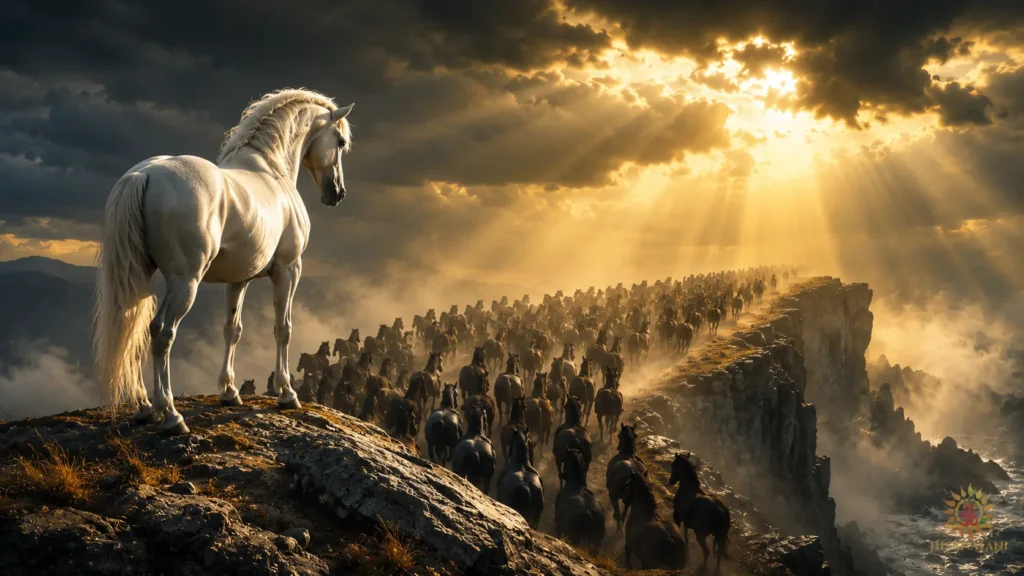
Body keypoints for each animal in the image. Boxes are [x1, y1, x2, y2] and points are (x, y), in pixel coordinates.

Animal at [92, 89, 355, 434]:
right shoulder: (289, 269)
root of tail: (143, 174)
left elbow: (233, 329)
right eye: (340, 141)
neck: (271, 170)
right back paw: (170, 414)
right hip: (185, 282)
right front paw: (287, 394)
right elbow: (283, 328)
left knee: (131, 327)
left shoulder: (238, 279)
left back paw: (144, 408)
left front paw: (229, 392)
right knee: (161, 333)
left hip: (136, 276)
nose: (337, 192)